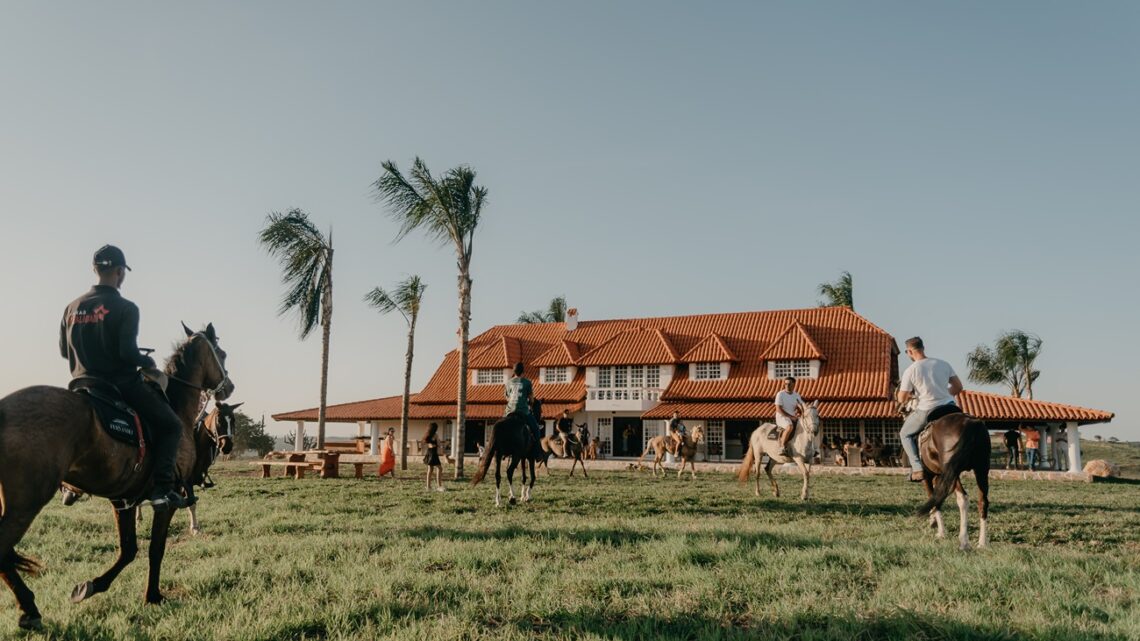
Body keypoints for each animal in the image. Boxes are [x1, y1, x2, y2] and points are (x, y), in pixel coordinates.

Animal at [0, 321, 231, 625]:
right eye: (222, 354)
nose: (229, 387)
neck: (176, 407)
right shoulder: (167, 501)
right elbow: (155, 549)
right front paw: (153, 596)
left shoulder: (124, 501)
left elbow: (128, 550)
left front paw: (90, 586)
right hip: (25, 503)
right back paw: (29, 607)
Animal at [912, 403, 994, 549]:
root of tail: (971, 423)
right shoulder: (940, 477)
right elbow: (938, 497)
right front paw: (933, 521)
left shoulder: (927, 476)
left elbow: (934, 497)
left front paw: (940, 531)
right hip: (981, 469)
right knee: (983, 501)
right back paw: (982, 542)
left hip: (954, 472)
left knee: (963, 498)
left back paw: (964, 541)